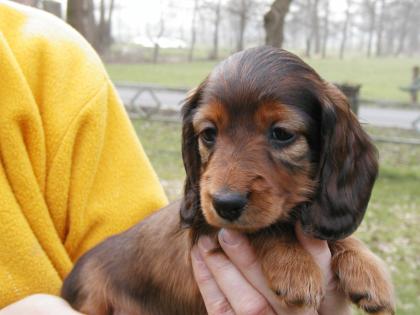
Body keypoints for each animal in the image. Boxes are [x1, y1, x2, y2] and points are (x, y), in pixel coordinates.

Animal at [61, 47, 394, 315]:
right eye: (209, 133)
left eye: (282, 133)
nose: (225, 204)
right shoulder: (206, 228)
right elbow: (264, 229)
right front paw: (294, 265)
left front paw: (367, 269)